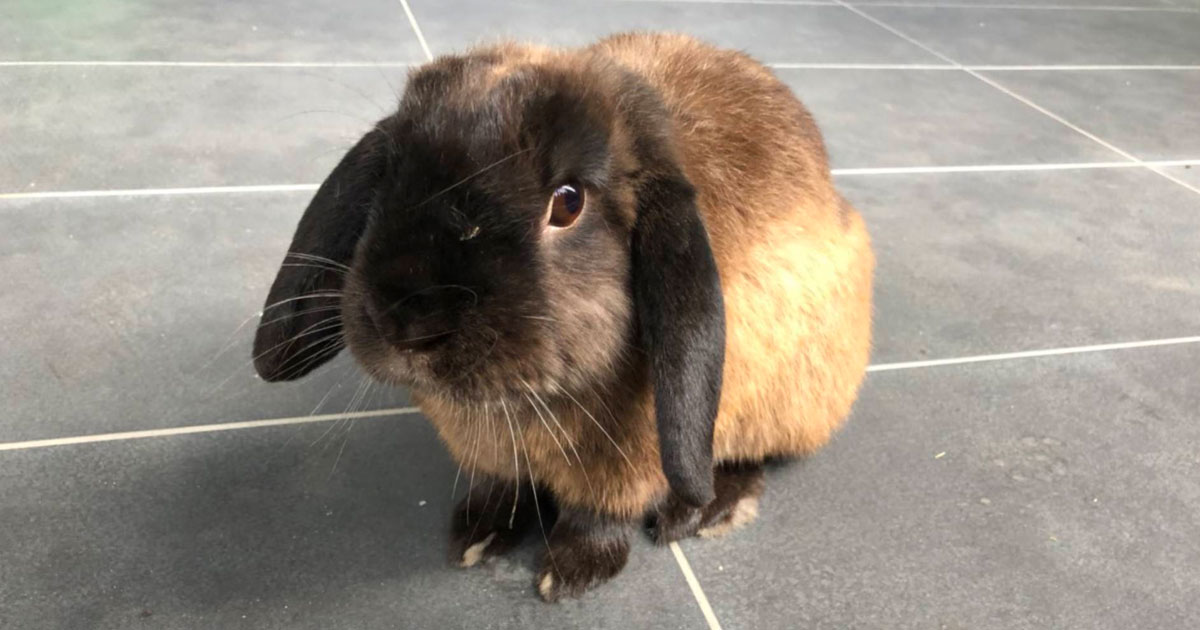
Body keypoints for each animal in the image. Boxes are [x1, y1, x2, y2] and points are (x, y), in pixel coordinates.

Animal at [253, 33, 873, 600]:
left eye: (568, 202)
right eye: (387, 176)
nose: (405, 322)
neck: (523, 405)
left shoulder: (625, 467)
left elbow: (597, 516)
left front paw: (571, 574)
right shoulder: (498, 460)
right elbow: (502, 488)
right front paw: (477, 534)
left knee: (757, 454)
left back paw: (705, 509)